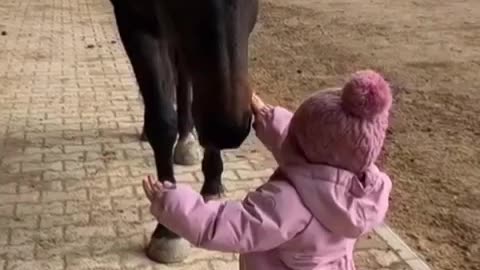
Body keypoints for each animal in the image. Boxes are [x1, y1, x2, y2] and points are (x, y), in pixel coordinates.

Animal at [109, 0, 258, 264]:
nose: (227, 130)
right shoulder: (134, 22)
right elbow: (161, 120)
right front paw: (167, 230)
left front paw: (212, 184)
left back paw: (187, 139)